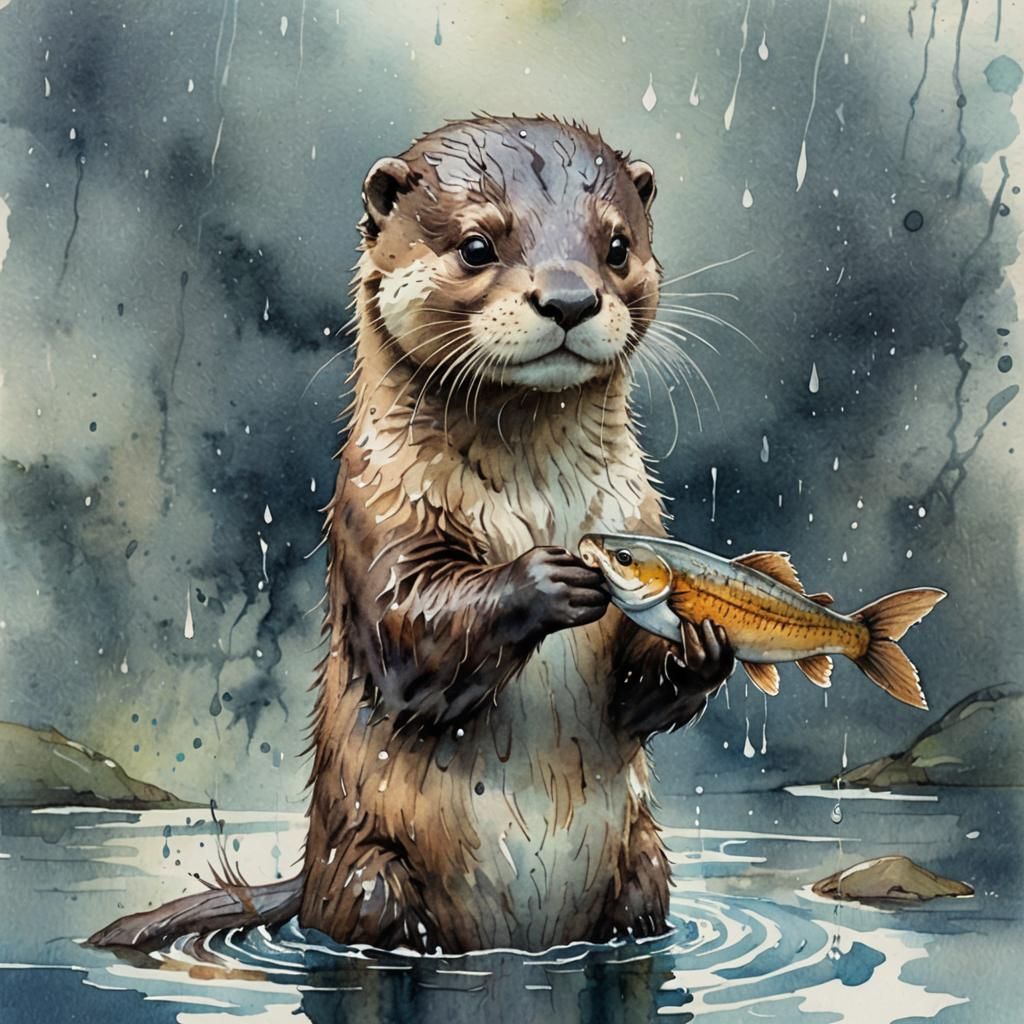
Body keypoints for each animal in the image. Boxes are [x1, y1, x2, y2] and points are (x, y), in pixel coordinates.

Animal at [89, 115, 733, 955]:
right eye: (477, 245)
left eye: (617, 246)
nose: (570, 297)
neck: (537, 501)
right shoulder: (373, 510)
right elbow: (405, 636)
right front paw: (543, 580)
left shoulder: (640, 513)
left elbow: (635, 702)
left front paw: (703, 645)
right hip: (370, 871)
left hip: (644, 863)